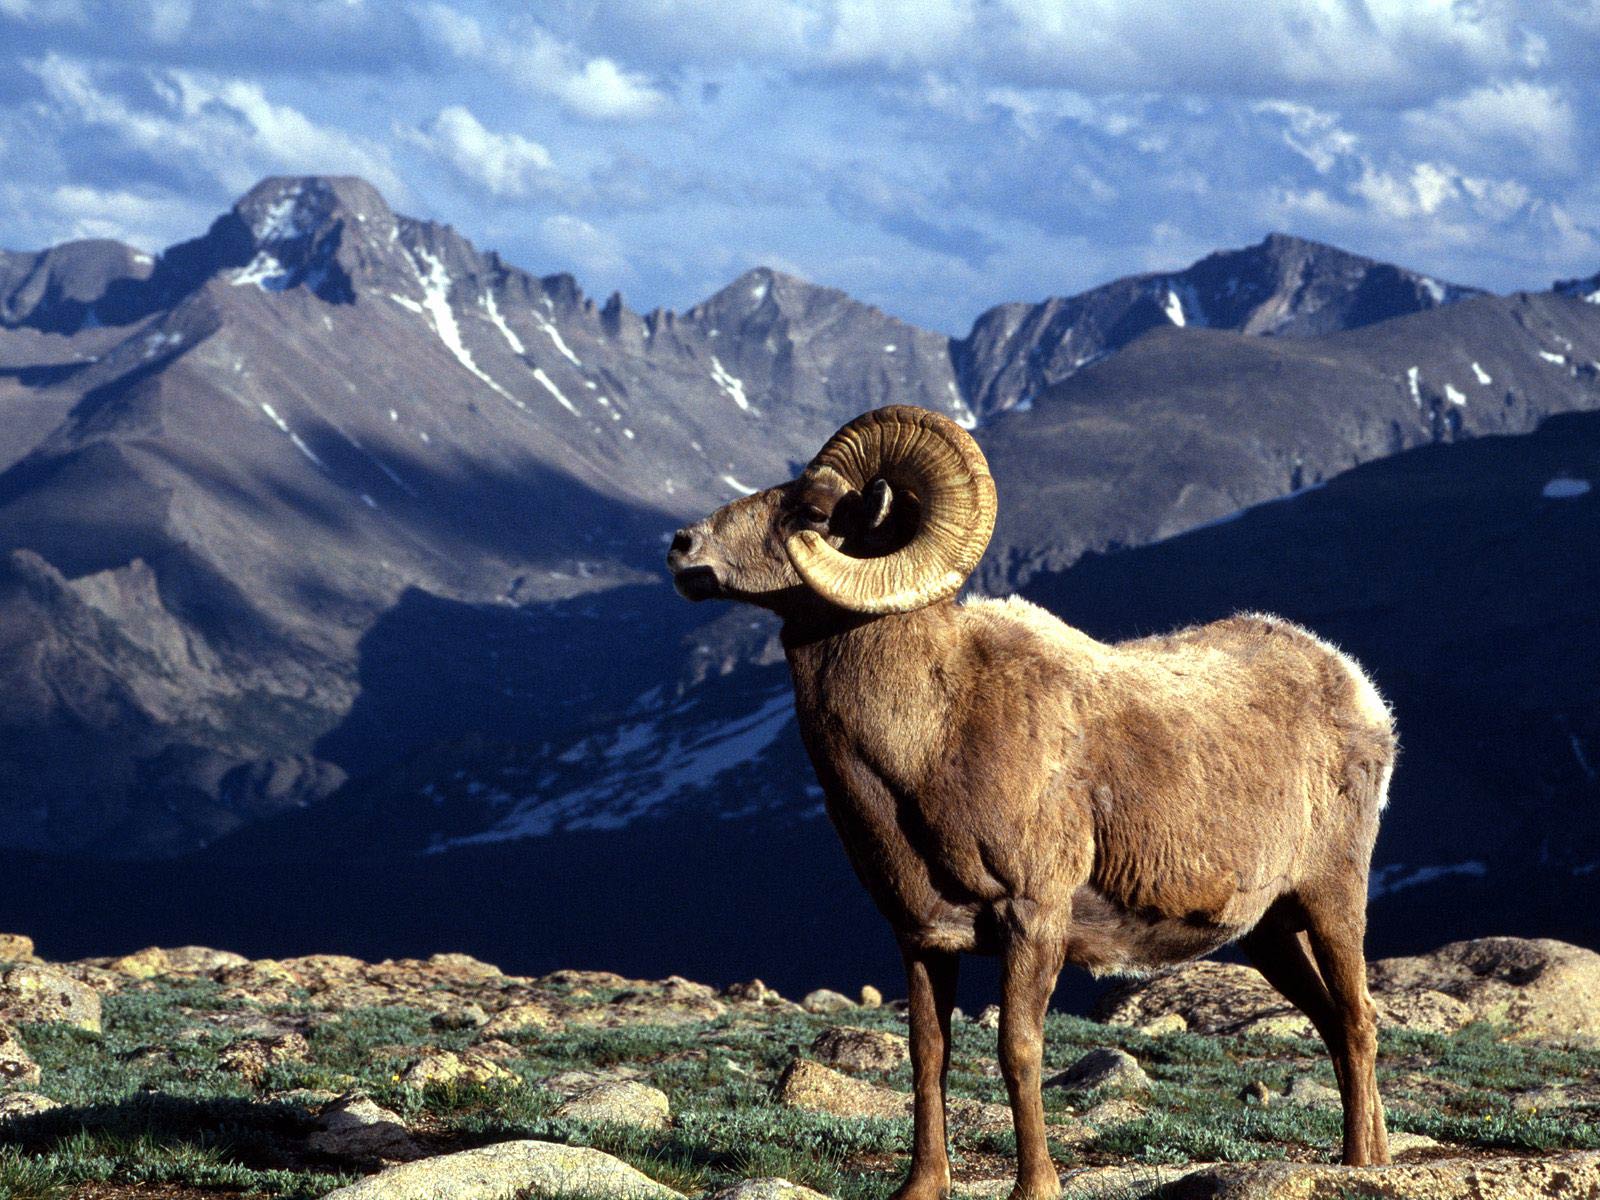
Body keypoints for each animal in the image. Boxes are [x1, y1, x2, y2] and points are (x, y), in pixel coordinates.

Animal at [667, 405, 1395, 1199]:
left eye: (810, 507)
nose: (682, 548)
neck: (931, 736)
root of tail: (1358, 689)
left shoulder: (1033, 918)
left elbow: (1019, 1051)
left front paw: (1036, 1185)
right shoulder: (921, 937)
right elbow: (928, 1056)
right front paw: (922, 1186)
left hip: (1331, 898)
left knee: (1358, 1020)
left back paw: (1362, 1164)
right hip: (1268, 932)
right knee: (1333, 1022)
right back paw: (1370, 1157)